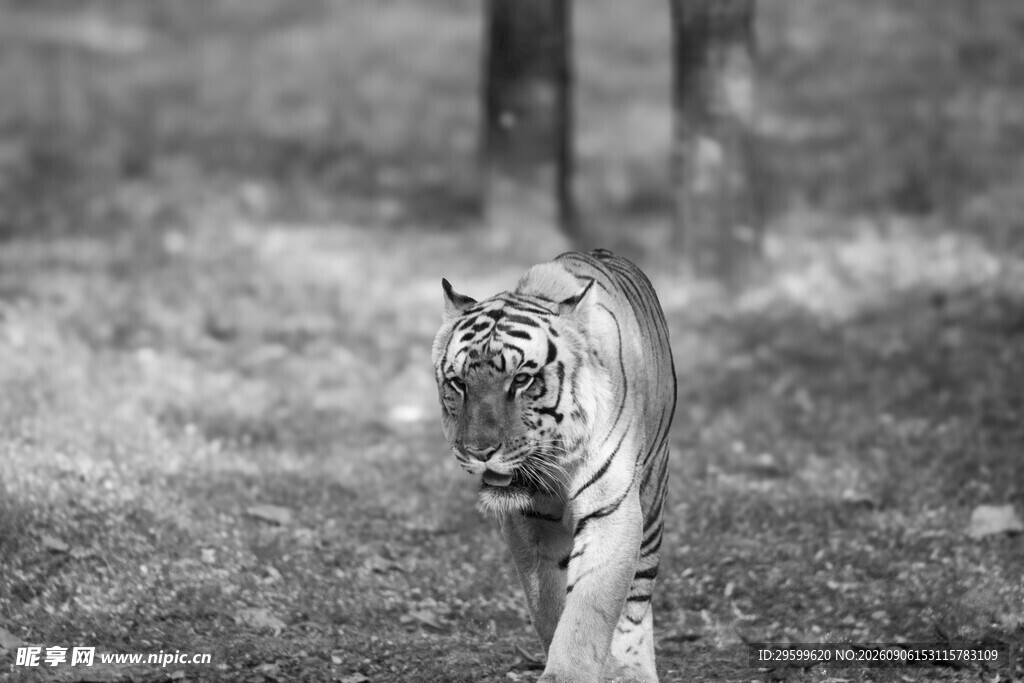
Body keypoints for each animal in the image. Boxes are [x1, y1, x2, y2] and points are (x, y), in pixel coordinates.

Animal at [432, 249, 677, 682]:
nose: (478, 451)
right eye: (458, 383)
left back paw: (633, 668)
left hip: (652, 496)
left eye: (522, 380)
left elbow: (590, 609)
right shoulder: (530, 523)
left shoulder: (611, 511)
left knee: (637, 599)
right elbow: (548, 603)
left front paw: (574, 670)